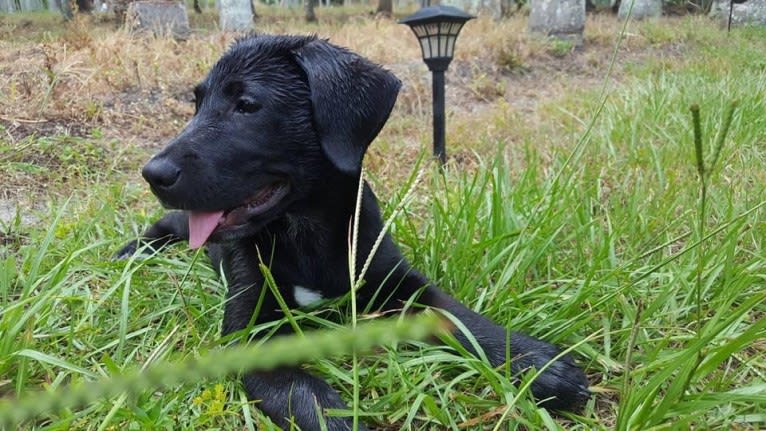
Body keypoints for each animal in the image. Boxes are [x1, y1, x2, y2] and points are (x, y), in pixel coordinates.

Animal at [117, 35, 592, 430]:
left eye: (247, 105)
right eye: (196, 104)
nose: (153, 173)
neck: (305, 232)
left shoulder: (398, 280)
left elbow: (457, 316)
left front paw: (537, 364)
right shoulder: (248, 331)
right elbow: (305, 395)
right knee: (162, 226)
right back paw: (130, 252)